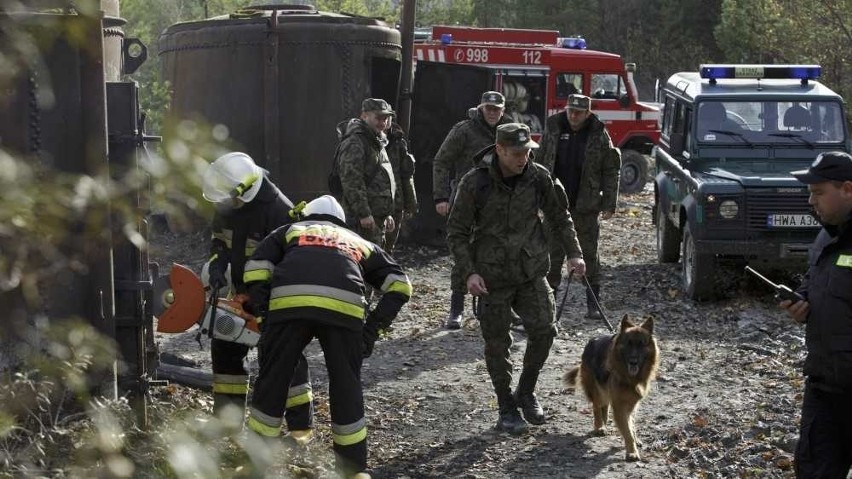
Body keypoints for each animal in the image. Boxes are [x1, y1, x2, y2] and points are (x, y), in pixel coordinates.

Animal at [564, 316, 660, 462]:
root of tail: (591, 341)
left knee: (605, 407)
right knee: (597, 406)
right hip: (597, 389)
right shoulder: (620, 405)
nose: (633, 361)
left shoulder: (632, 403)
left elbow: (631, 425)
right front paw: (632, 452)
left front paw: (635, 440)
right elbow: (627, 431)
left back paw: (604, 423)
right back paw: (600, 426)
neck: (629, 378)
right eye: (628, 343)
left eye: (642, 344)